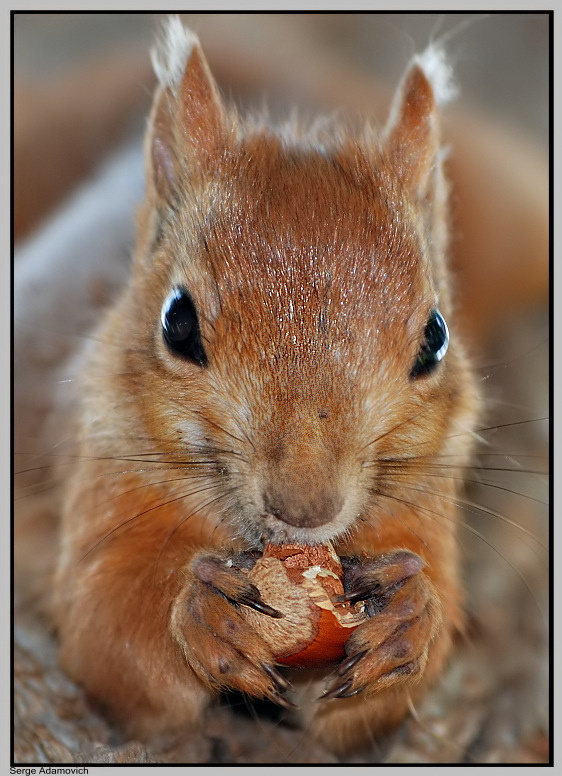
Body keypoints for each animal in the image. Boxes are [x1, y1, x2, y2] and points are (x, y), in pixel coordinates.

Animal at [51, 17, 483, 755]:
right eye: (176, 322)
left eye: (435, 337)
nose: (306, 508)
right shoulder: (105, 477)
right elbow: (105, 634)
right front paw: (199, 613)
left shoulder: (423, 506)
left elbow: (367, 711)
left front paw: (411, 612)